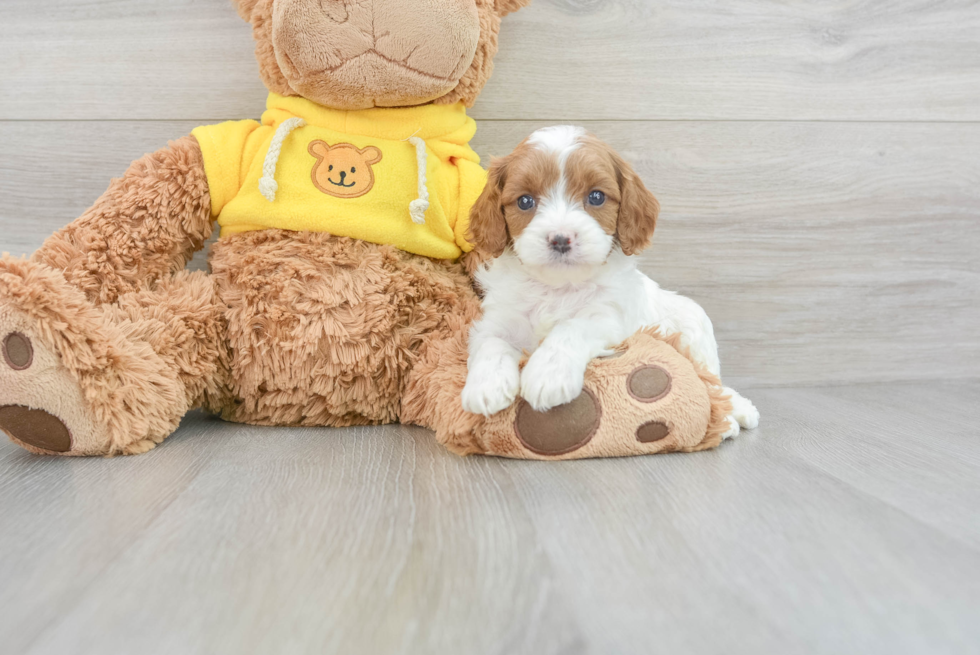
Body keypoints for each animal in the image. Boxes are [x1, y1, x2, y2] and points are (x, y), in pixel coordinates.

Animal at [460, 125, 756, 438]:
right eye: (525, 201)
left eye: (596, 197)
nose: (560, 239)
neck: (557, 287)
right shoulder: (498, 319)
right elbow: (491, 342)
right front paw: (486, 386)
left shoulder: (609, 317)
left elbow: (572, 327)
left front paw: (548, 373)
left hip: (696, 332)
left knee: (714, 384)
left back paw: (734, 414)